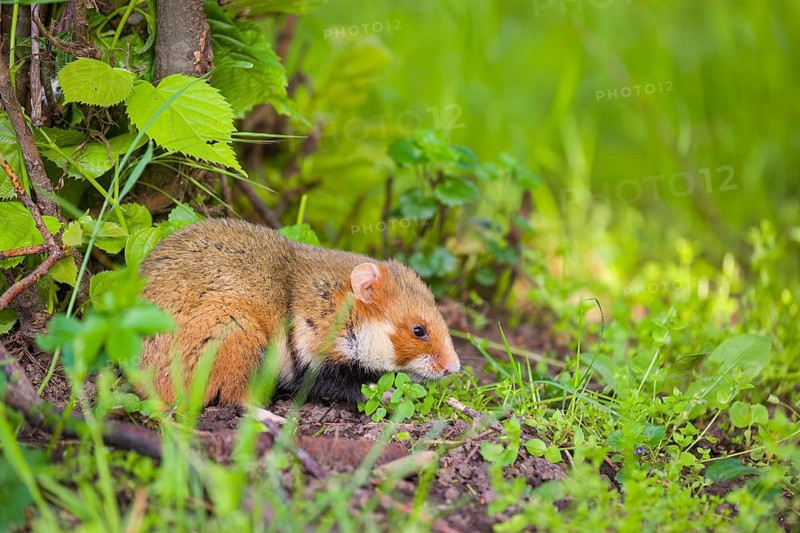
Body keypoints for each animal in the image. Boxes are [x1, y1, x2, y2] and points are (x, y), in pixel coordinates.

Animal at [138, 218, 460, 406]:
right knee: (236, 399)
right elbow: (351, 388)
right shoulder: (315, 365)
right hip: (239, 336)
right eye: (418, 330)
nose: (454, 368)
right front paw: (390, 395)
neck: (339, 311)